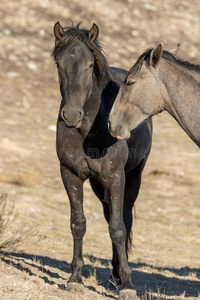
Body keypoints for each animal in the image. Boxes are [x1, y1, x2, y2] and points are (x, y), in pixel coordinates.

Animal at [52, 22, 152, 298]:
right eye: (58, 64)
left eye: (89, 65)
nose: (71, 116)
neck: (88, 131)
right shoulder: (70, 174)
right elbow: (78, 223)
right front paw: (75, 278)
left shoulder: (116, 178)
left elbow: (118, 228)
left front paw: (127, 285)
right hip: (98, 185)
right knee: (109, 215)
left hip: (132, 179)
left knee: (124, 219)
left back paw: (119, 275)